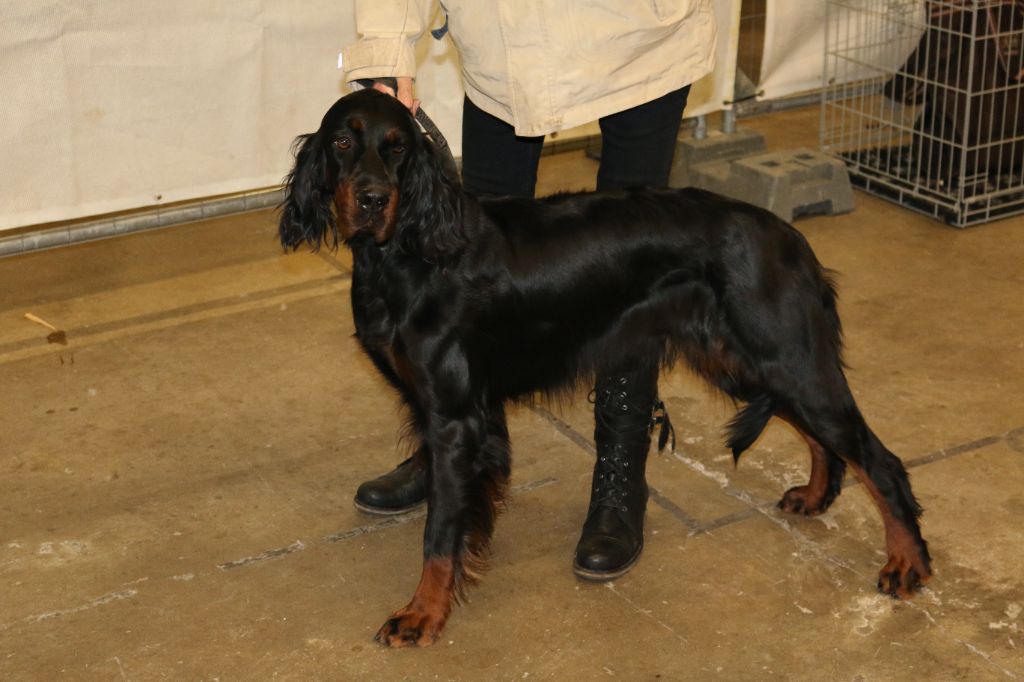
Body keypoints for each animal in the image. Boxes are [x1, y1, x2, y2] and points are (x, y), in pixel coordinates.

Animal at [276, 89, 933, 643]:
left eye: (398, 148)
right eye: (343, 143)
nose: (371, 199)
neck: (410, 250)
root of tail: (792, 241)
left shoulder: (457, 416)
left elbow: (440, 534)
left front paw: (422, 613)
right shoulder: (446, 407)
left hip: (782, 357)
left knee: (880, 460)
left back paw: (907, 562)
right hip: (745, 361)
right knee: (825, 438)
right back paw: (816, 496)